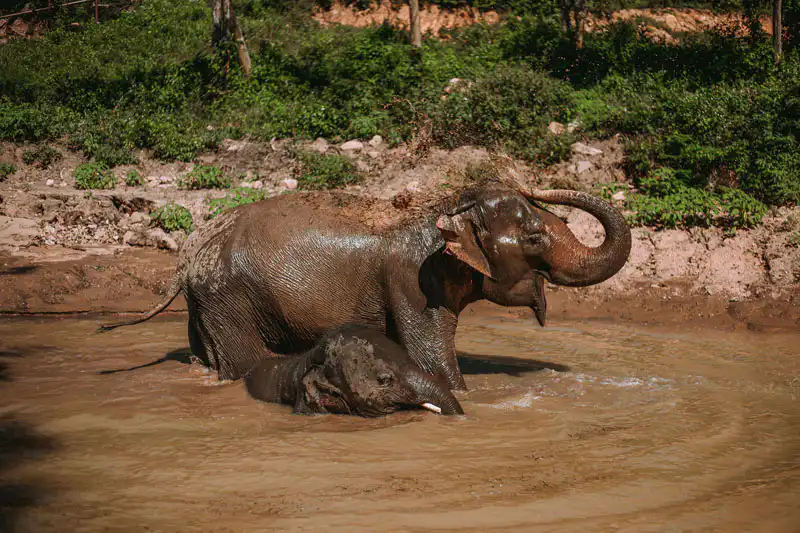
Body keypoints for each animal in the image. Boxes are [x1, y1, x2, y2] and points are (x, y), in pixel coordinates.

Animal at [99, 181, 631, 390]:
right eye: (535, 236)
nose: (535, 184)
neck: (448, 207)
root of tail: (187, 253)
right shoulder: (415, 279)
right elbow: (432, 360)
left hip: (207, 302)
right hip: (230, 298)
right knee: (248, 362)